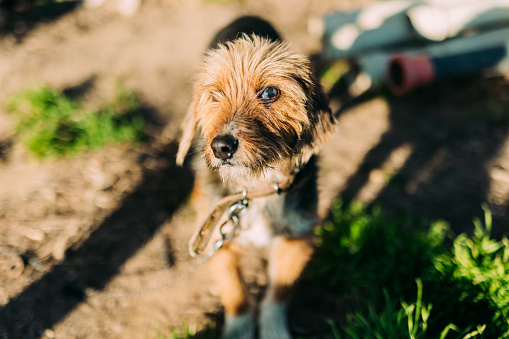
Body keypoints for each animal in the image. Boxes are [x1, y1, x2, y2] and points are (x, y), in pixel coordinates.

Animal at [177, 16, 336, 339]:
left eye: (270, 93)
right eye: (214, 95)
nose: (221, 146)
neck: (256, 187)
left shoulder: (295, 238)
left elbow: (279, 292)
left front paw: (274, 330)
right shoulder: (219, 242)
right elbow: (234, 292)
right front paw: (238, 330)